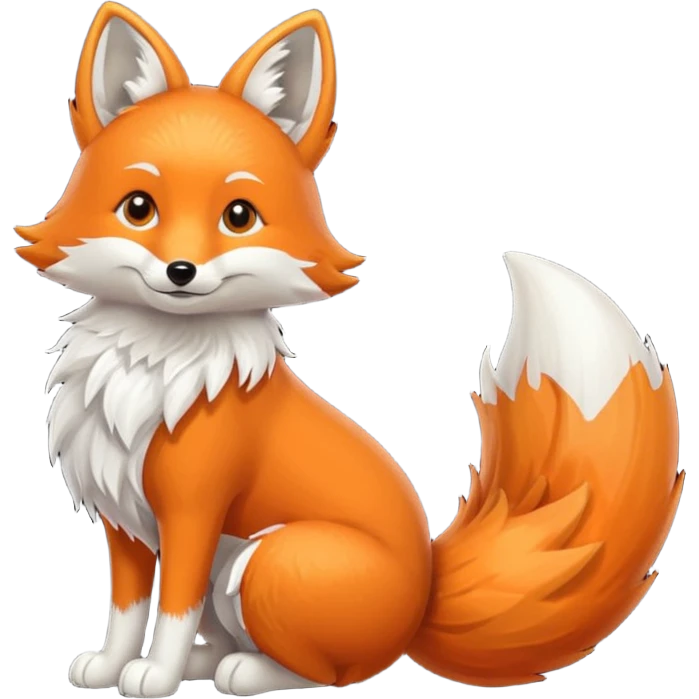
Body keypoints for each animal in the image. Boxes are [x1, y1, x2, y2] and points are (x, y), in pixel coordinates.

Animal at [14, 2, 683, 697]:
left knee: (333, 673)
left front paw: (157, 675)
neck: (154, 369)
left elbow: (172, 608)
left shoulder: (195, 511)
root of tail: (423, 602)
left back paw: (244, 673)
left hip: (267, 558)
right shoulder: (124, 519)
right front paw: (110, 665)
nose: (181, 271)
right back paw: (210, 662)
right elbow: (126, 608)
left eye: (238, 216)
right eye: (139, 208)